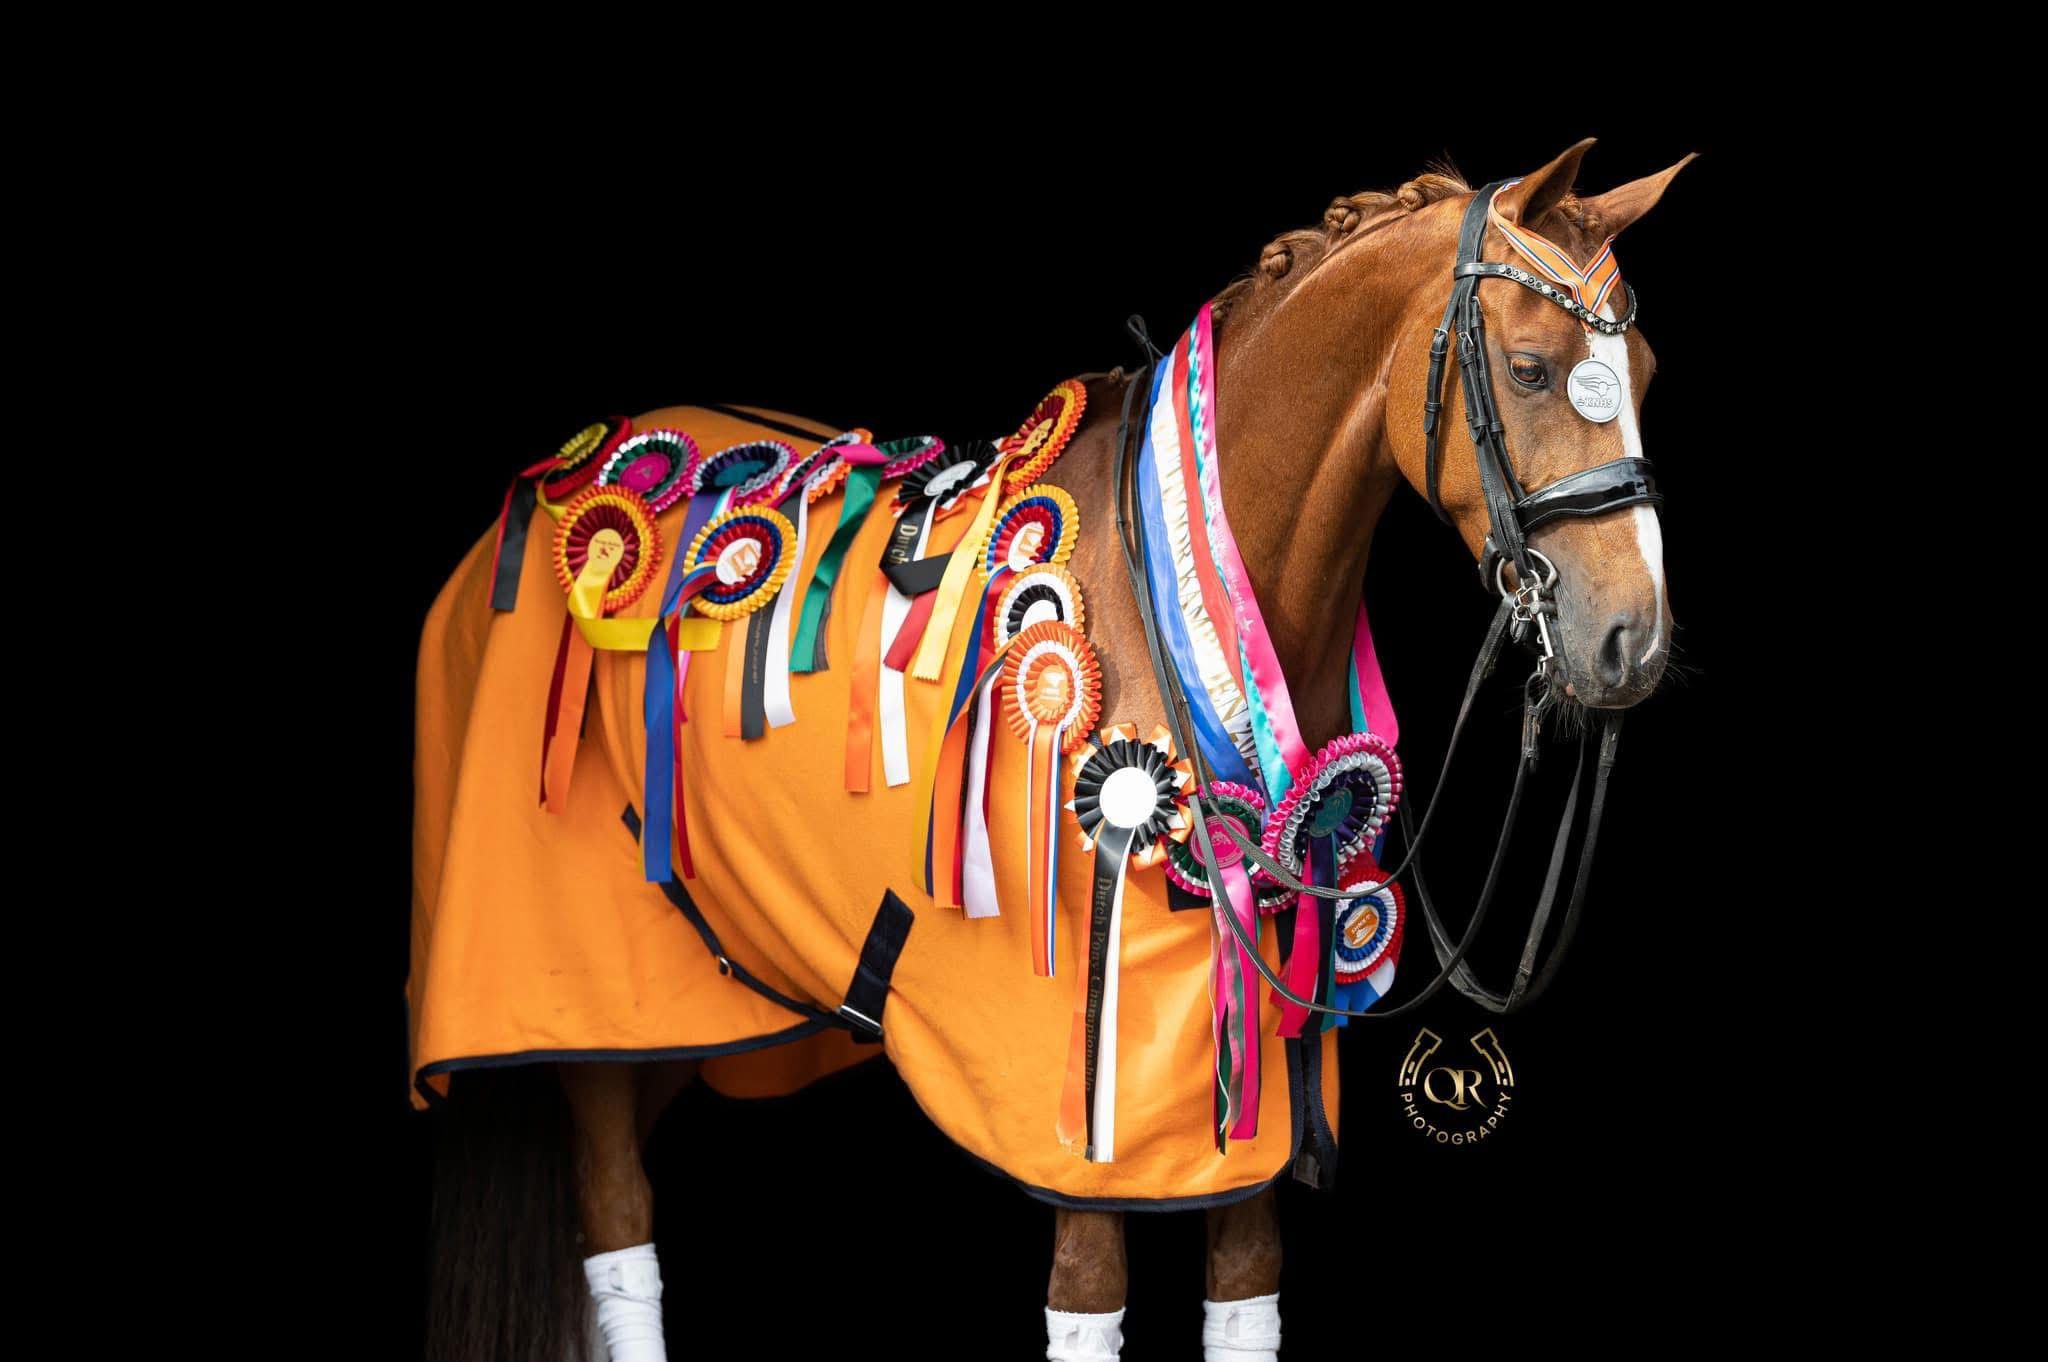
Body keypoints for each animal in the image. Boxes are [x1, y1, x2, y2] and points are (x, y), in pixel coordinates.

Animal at [409, 136, 1694, 1361]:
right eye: (1526, 369)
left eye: (1637, 373)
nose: (1627, 640)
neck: (1178, 585)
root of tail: (564, 474)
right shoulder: (1082, 1102)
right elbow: (1086, 1306)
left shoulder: (1250, 1079)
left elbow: (1243, 1297)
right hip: (590, 1009)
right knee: (616, 1224)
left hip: (699, 1000)